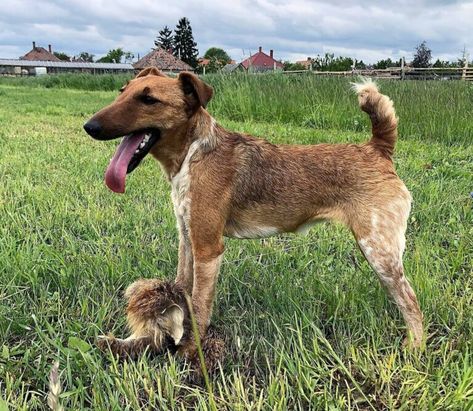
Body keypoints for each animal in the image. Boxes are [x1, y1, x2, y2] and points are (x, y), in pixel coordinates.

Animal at [83, 68, 422, 364]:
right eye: (122, 91)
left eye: (149, 99)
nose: (90, 126)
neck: (194, 153)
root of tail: (378, 149)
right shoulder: (187, 240)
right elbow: (182, 291)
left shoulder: (208, 249)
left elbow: (200, 307)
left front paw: (190, 353)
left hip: (379, 252)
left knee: (411, 303)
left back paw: (414, 349)